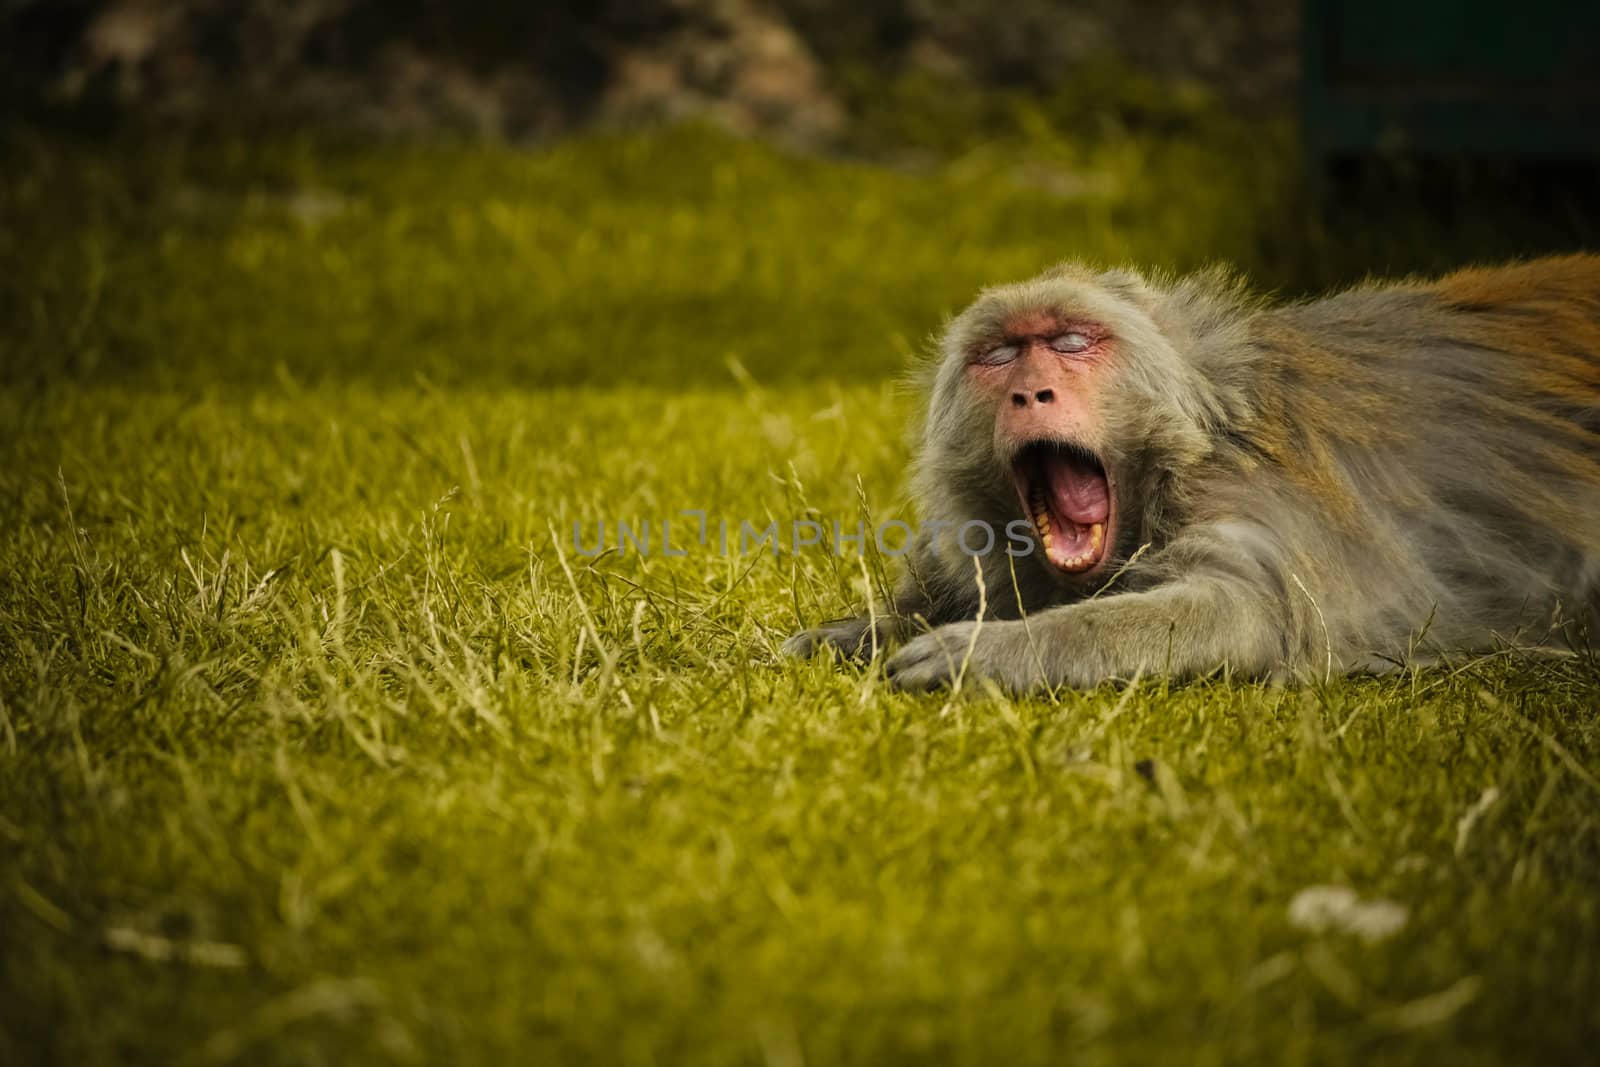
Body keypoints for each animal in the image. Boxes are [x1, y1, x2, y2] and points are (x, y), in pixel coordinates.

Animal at [784, 254, 1600, 687]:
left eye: (1071, 342)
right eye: (1001, 355)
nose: (1029, 391)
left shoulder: (1243, 497)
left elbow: (1244, 613)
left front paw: (988, 653)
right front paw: (857, 632)